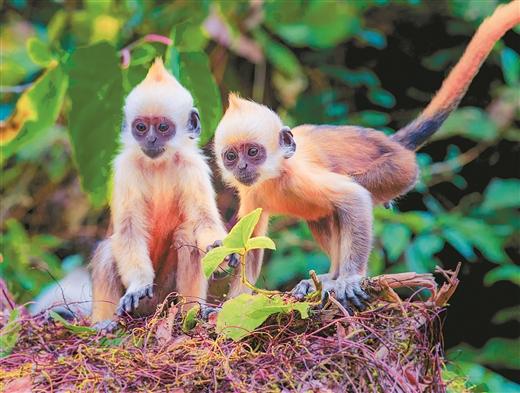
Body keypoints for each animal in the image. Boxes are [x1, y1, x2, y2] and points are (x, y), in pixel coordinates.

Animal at [90, 58, 228, 328]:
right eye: (141, 128)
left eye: (163, 127)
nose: (151, 139)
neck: (159, 165)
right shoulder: (125, 168)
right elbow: (129, 232)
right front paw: (137, 285)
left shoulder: (193, 167)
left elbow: (203, 221)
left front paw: (219, 251)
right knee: (108, 251)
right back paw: (104, 323)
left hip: (164, 295)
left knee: (187, 234)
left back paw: (192, 312)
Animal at [212, 2, 520, 310]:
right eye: (231, 156)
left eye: (253, 152)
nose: (242, 166)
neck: (274, 176)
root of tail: (394, 144)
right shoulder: (252, 193)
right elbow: (249, 242)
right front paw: (230, 302)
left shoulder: (302, 177)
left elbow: (355, 198)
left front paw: (349, 280)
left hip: (398, 171)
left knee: (348, 200)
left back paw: (333, 280)